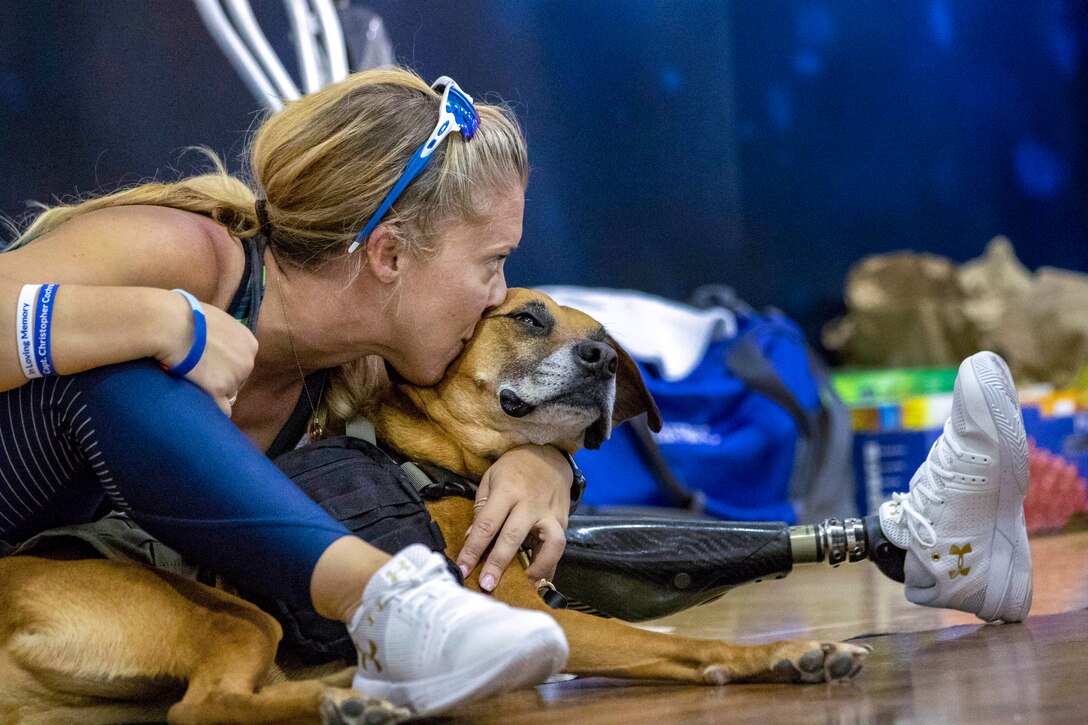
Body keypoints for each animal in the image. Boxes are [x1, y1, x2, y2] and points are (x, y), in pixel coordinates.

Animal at [0, 287, 866, 722]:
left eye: (607, 340)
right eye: (528, 316)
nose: (601, 358)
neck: (440, 464)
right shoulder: (534, 612)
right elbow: (673, 643)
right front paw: (781, 654)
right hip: (231, 613)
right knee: (201, 708)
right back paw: (349, 702)